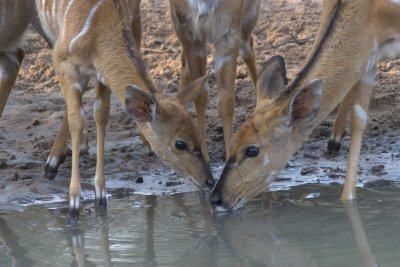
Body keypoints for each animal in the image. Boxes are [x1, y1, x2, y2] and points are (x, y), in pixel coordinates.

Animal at [0, 0, 216, 220]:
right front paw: (74, 202)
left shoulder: (103, 73)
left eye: (198, 134)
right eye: (180, 143)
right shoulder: (63, 61)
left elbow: (101, 115)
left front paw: (101, 195)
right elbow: (77, 120)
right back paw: (53, 162)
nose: (210, 181)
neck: (98, 26)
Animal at [168, 0, 260, 161]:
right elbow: (200, 95)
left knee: (248, 46)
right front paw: (204, 155)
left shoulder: (229, 33)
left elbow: (226, 101)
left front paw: (230, 155)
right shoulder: (191, 33)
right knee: (184, 62)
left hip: (248, 20)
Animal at [211, 0, 400, 210]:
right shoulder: (368, 60)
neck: (372, 11)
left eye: (252, 150)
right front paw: (347, 199)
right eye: (232, 143)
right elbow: (359, 120)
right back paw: (334, 140)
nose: (216, 199)